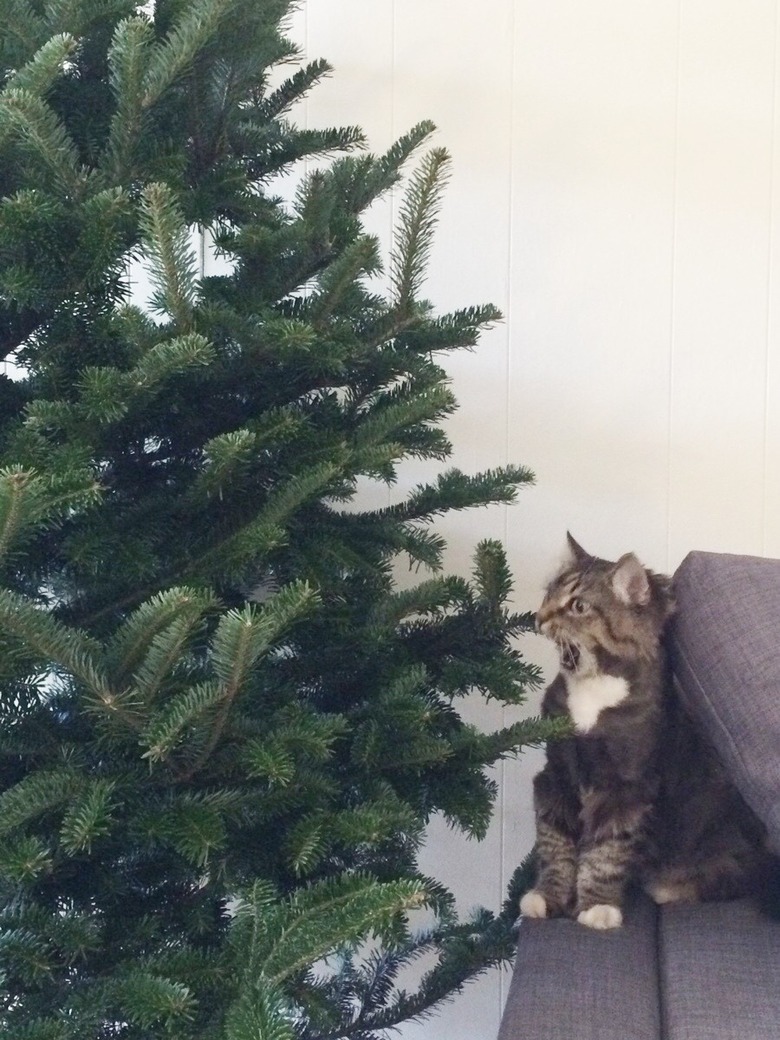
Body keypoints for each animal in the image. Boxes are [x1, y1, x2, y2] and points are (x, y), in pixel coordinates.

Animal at [522, 532, 773, 931]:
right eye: (549, 593)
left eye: (578, 605)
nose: (539, 617)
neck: (594, 685)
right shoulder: (555, 775)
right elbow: (555, 844)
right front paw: (548, 898)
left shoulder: (628, 787)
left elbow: (606, 852)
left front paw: (597, 907)